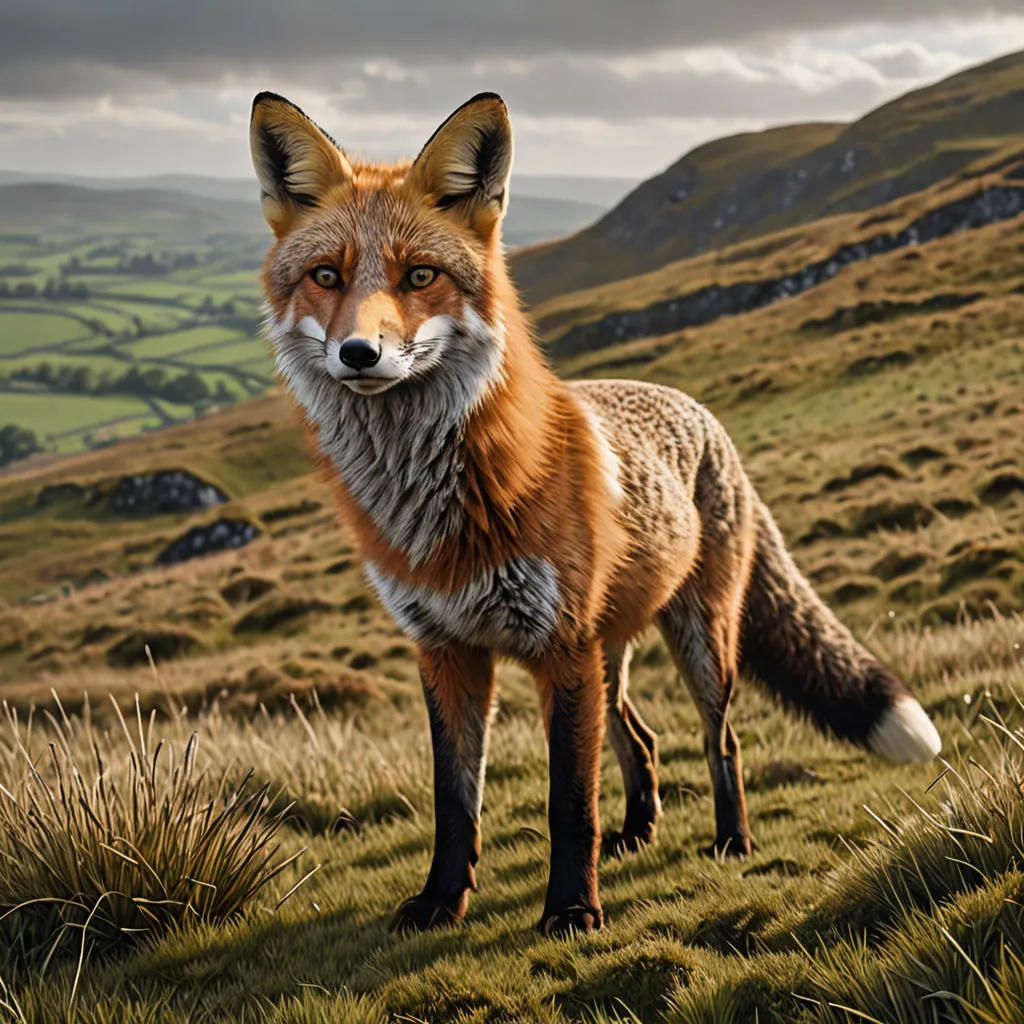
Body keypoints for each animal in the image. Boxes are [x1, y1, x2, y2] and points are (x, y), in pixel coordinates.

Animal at [249, 91, 941, 936]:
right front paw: (443, 901)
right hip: (607, 657)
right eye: (326, 276)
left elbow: (568, 804)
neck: (440, 511)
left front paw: (573, 910)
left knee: (722, 740)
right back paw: (637, 833)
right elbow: (455, 800)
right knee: (641, 740)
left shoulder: (559, 646)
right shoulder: (445, 649)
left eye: (420, 276)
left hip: (694, 641)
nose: (358, 354)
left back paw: (730, 840)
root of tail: (698, 410)